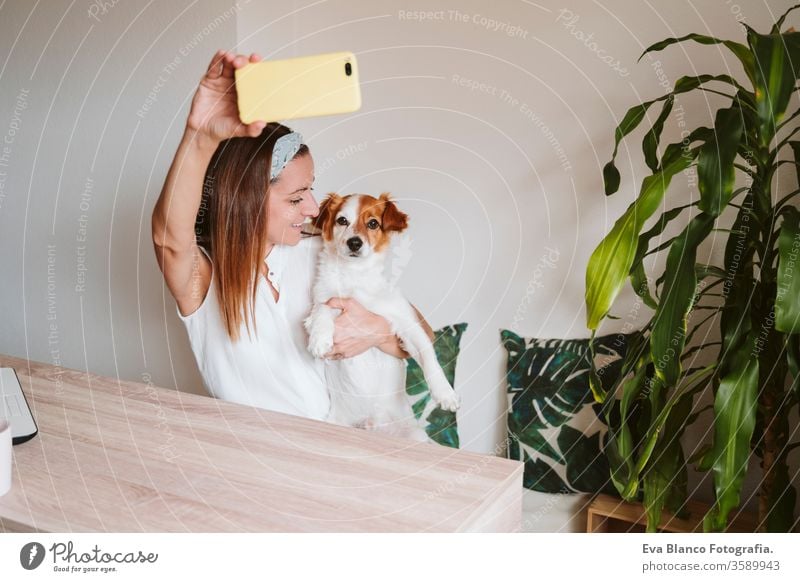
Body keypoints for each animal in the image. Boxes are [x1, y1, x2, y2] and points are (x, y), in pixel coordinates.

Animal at [304, 194, 460, 440]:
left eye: (373, 223)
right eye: (342, 220)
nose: (354, 243)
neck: (355, 277)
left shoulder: (407, 321)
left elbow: (429, 357)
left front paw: (445, 393)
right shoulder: (325, 300)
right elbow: (321, 311)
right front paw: (320, 338)